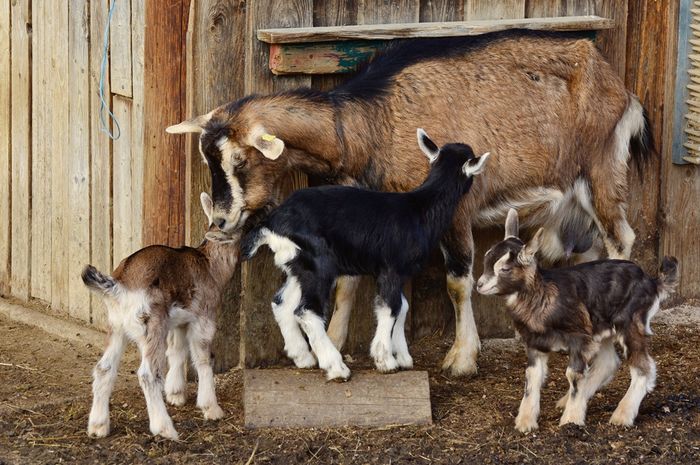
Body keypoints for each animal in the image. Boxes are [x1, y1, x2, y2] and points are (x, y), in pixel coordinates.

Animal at [167, 30, 652, 376]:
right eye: (207, 158)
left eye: (240, 159)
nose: (221, 222)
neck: (368, 124)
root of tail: (619, 86)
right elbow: (348, 284)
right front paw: (336, 344)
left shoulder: (455, 210)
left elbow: (458, 283)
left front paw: (461, 359)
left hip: (601, 167)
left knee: (620, 237)